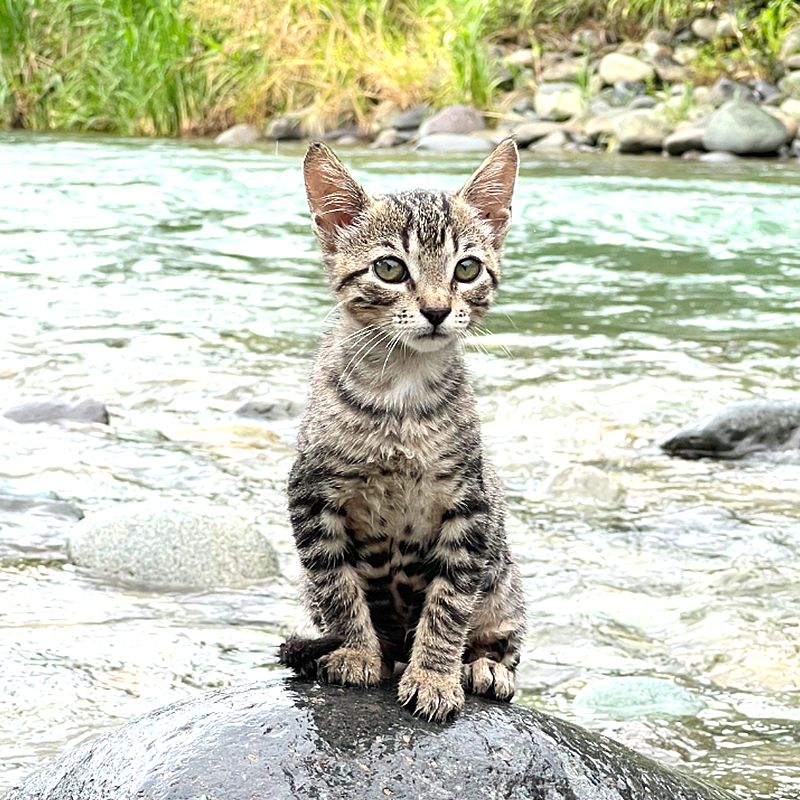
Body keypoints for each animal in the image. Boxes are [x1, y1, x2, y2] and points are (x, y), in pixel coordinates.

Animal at [282, 139, 524, 724]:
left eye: (467, 268)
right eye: (390, 268)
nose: (437, 310)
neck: (401, 393)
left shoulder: (470, 507)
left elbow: (449, 603)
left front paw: (435, 675)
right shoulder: (311, 498)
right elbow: (337, 587)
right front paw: (355, 653)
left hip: (505, 584)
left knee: (501, 638)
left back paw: (483, 667)